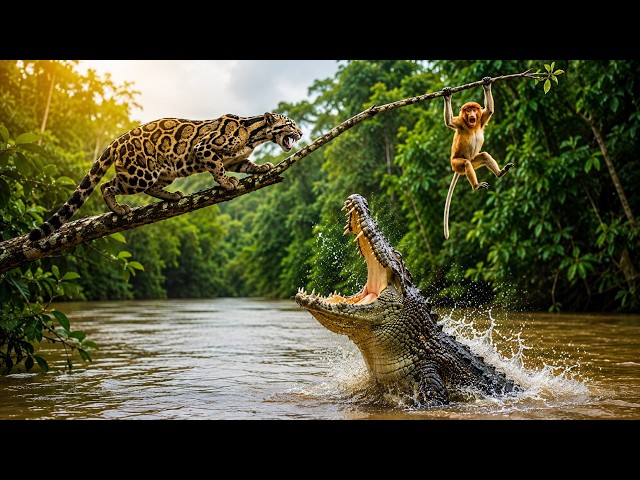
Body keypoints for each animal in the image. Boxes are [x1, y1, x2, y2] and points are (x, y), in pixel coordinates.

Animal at [28, 112, 302, 241]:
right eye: (290, 124)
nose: (300, 133)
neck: (254, 134)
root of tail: (118, 139)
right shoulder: (204, 148)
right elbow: (218, 168)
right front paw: (227, 183)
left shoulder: (237, 159)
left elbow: (247, 165)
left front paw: (263, 167)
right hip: (140, 173)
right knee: (108, 185)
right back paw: (118, 208)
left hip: (163, 172)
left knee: (147, 187)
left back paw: (171, 196)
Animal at [442, 77, 514, 239]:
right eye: (468, 110)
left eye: (474, 109)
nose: (472, 114)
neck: (471, 125)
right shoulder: (460, 123)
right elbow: (450, 121)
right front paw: (447, 95)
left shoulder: (480, 120)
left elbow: (489, 111)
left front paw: (487, 84)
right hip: (456, 163)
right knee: (466, 164)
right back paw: (476, 186)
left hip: (475, 160)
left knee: (484, 156)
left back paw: (500, 172)